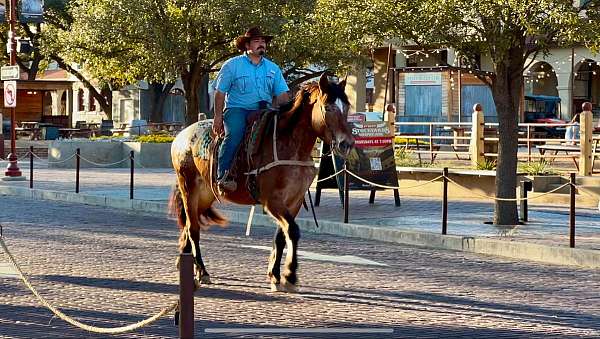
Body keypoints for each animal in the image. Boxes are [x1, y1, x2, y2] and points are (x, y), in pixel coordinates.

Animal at [169, 73, 354, 294]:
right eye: (328, 107)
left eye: (347, 107)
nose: (346, 144)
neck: (290, 145)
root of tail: (182, 135)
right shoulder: (272, 201)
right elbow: (292, 230)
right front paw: (290, 275)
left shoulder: (294, 201)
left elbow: (281, 236)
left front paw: (275, 275)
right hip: (189, 188)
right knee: (193, 228)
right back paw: (202, 271)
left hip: (205, 195)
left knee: (190, 225)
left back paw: (187, 262)